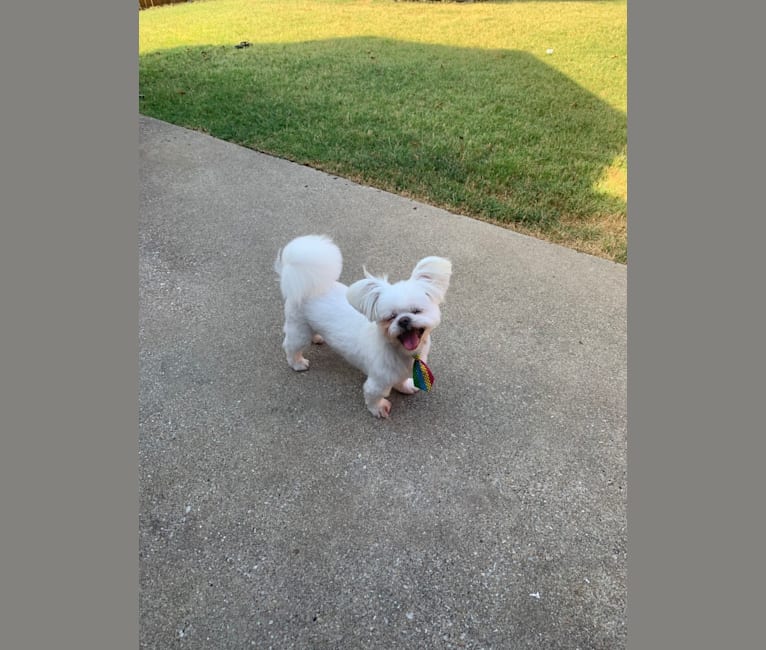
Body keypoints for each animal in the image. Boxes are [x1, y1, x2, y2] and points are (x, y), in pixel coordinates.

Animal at [276, 235, 452, 418]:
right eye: (390, 317)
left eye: (416, 311)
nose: (403, 320)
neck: (402, 352)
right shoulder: (377, 382)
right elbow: (374, 396)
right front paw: (379, 408)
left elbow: (401, 380)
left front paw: (405, 387)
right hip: (299, 330)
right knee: (291, 346)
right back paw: (297, 363)